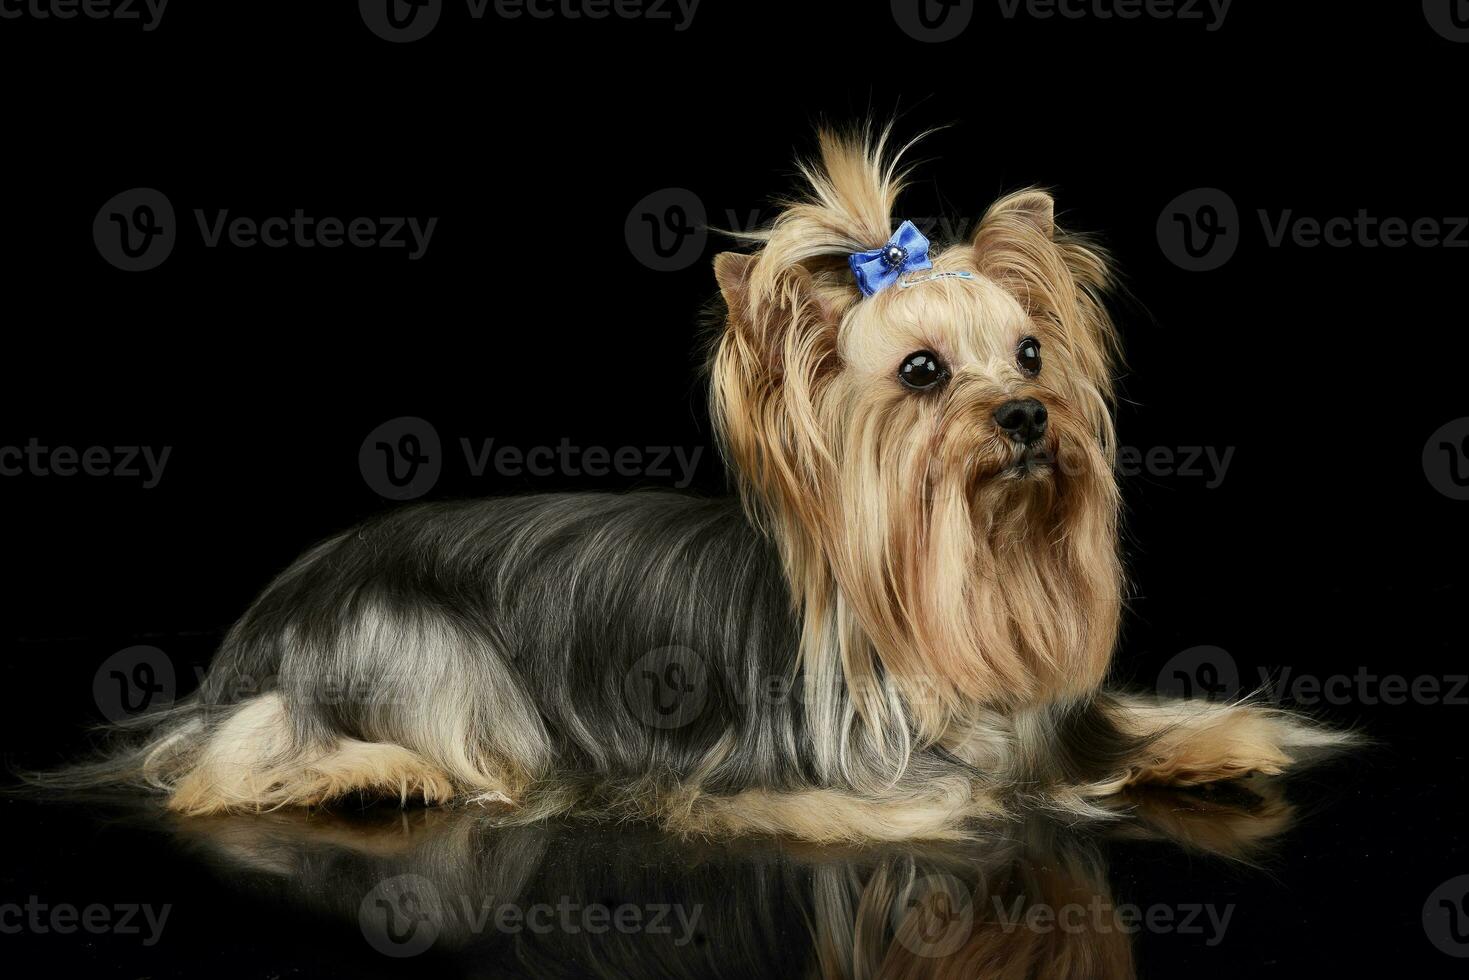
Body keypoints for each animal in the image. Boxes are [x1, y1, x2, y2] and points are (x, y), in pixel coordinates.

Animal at [42, 124, 1351, 846]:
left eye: (1028, 353)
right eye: (921, 371)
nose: (1029, 415)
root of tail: (261, 618)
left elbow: (1133, 725)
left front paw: (1218, 740)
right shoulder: (774, 775)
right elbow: (921, 797)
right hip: (419, 646)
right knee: (226, 764)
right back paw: (377, 770)